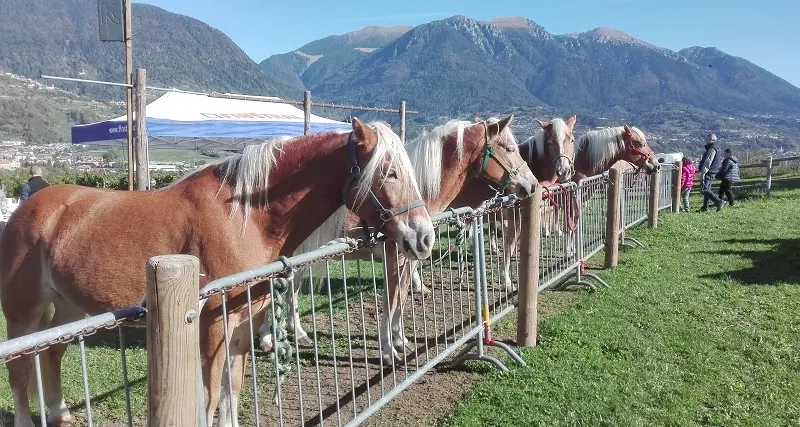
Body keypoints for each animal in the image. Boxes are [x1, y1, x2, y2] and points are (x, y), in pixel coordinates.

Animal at [0, 118, 434, 427]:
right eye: (390, 172)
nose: (424, 236)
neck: (243, 217)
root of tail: (29, 207)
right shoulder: (211, 326)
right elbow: (209, 396)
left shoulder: (242, 324)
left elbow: (232, 389)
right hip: (22, 313)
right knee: (19, 370)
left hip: (69, 307)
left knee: (51, 352)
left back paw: (60, 413)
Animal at [259, 115, 538, 363]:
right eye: (510, 148)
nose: (533, 185)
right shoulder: (395, 257)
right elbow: (390, 302)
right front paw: (387, 350)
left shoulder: (410, 258)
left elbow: (401, 300)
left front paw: (401, 340)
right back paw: (268, 339)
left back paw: (295, 335)